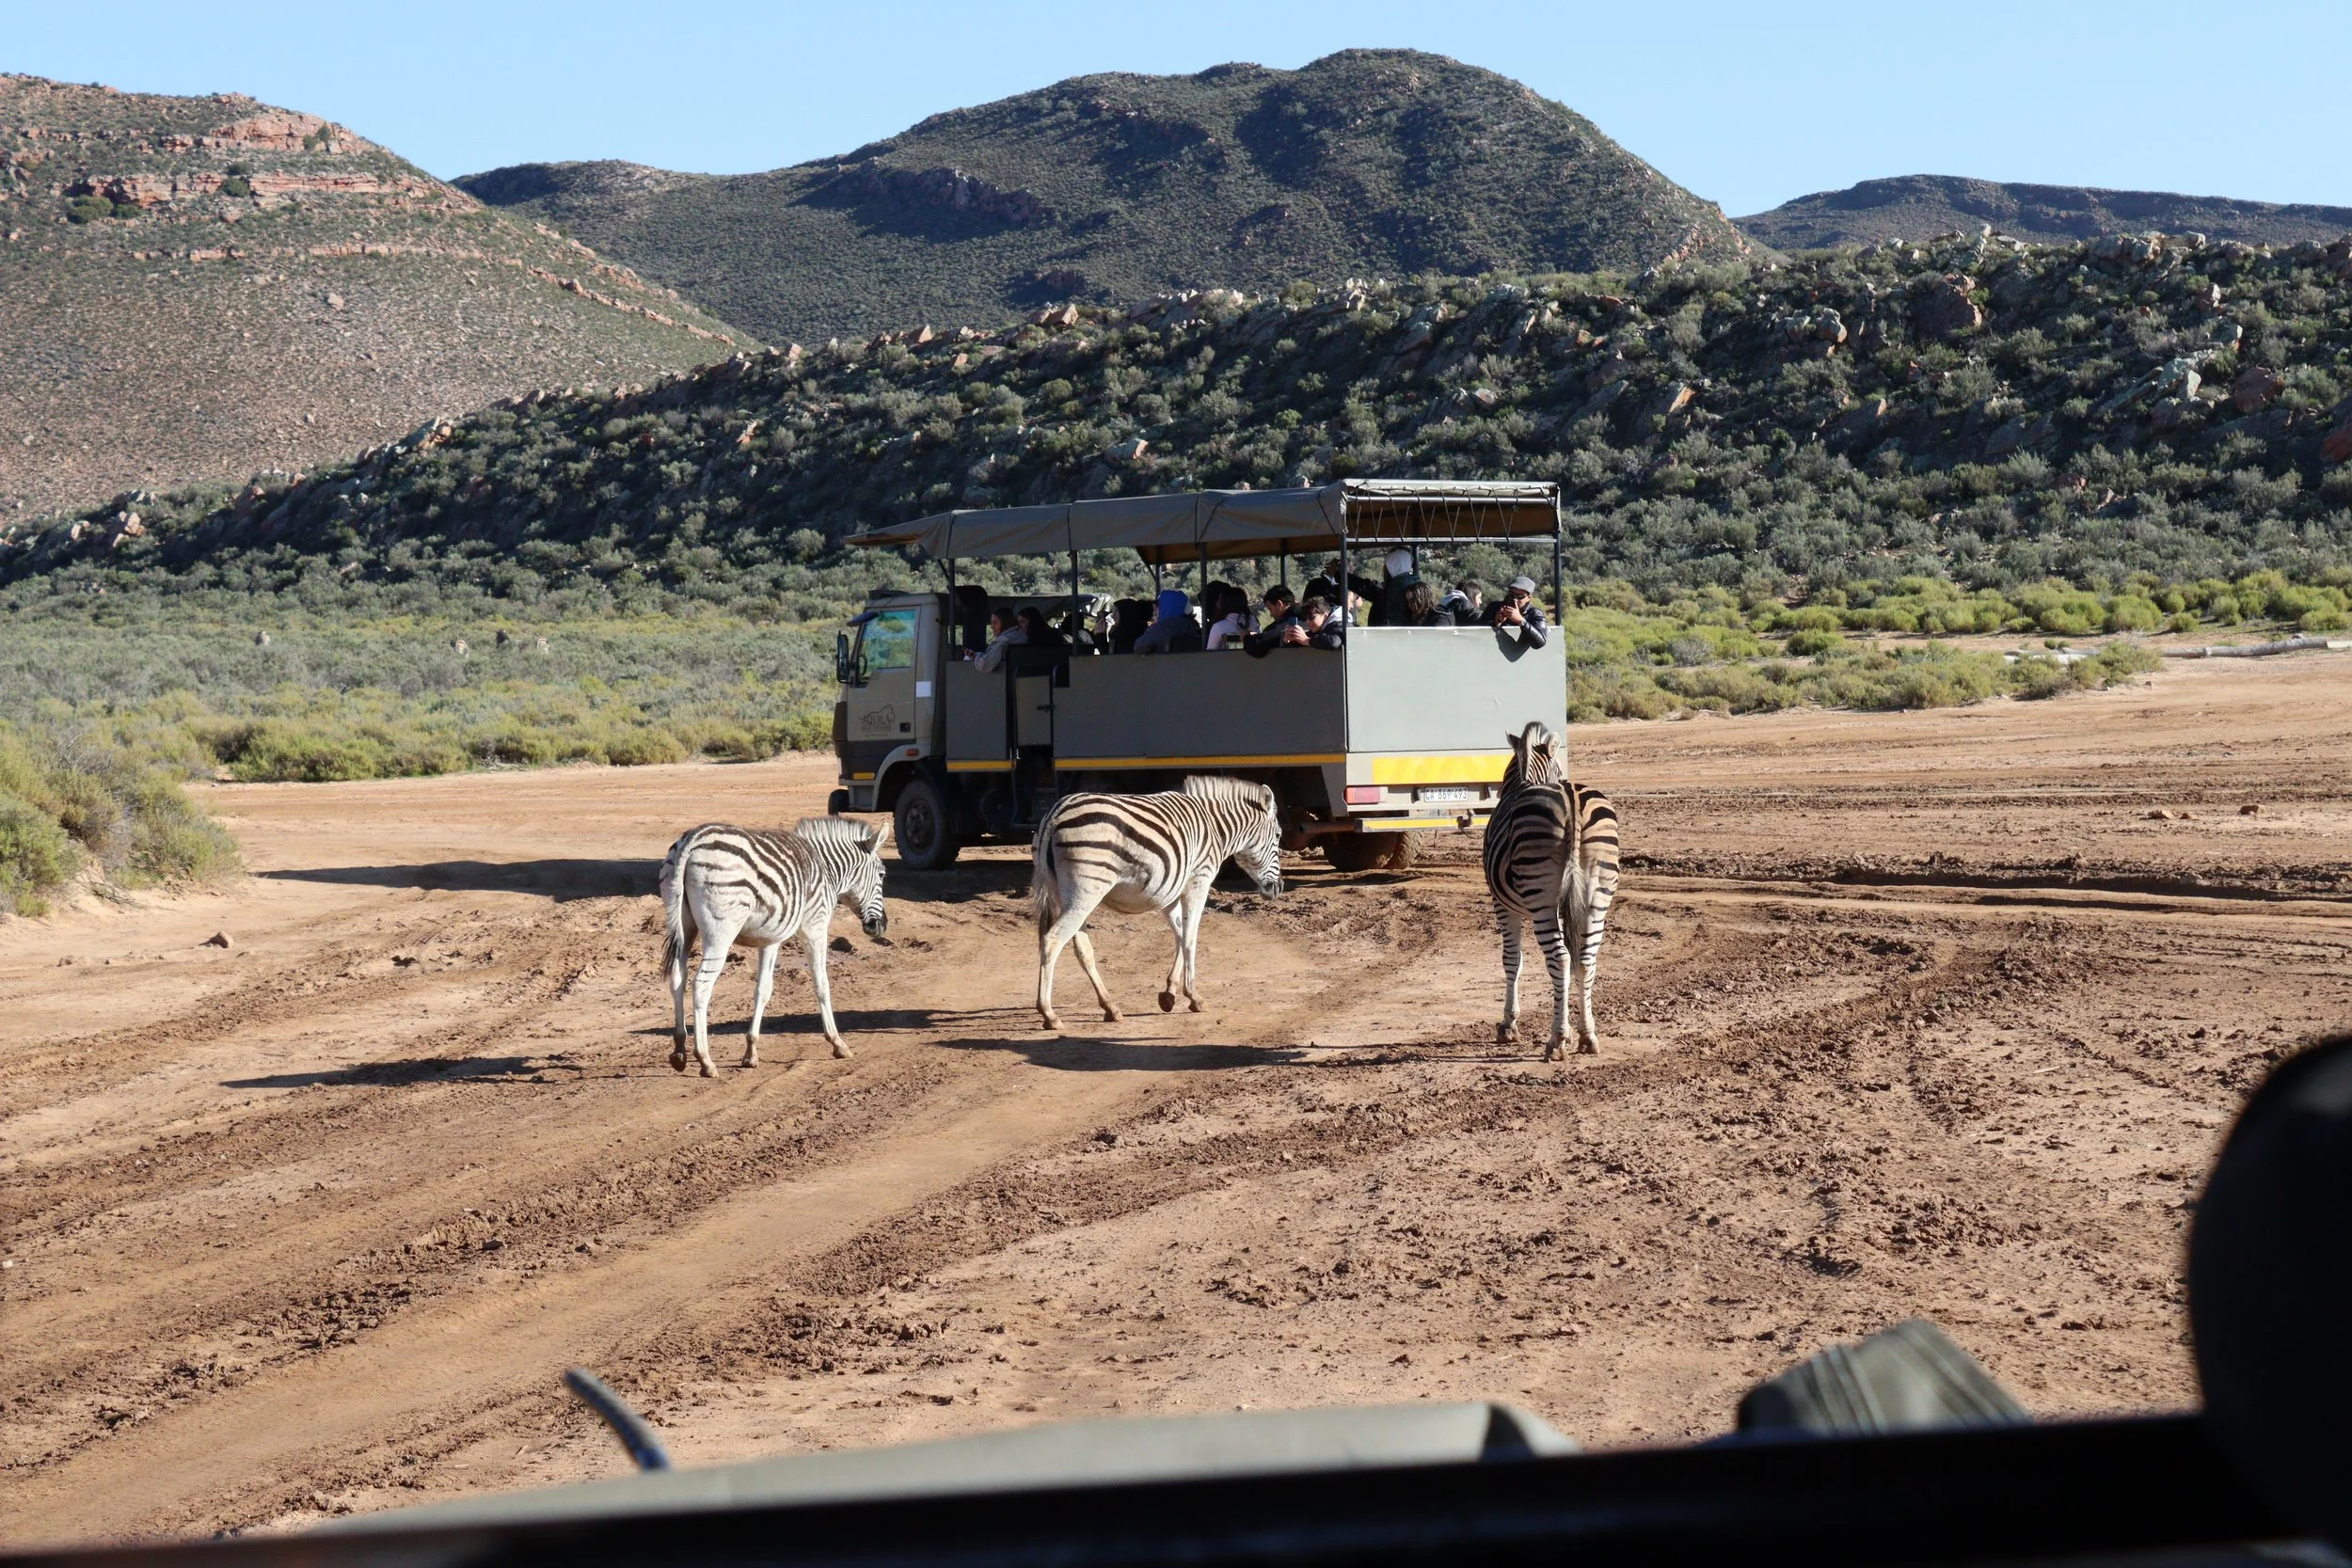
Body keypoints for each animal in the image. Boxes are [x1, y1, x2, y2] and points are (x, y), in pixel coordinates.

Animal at [659, 817, 888, 1075]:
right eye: (882, 875)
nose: (881, 926)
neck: (828, 868)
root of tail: (692, 840)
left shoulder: (771, 939)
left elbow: (763, 990)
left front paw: (751, 1052)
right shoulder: (814, 926)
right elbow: (822, 984)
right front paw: (837, 1042)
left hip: (684, 925)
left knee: (678, 979)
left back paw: (679, 1050)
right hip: (721, 931)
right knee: (701, 985)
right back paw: (705, 1059)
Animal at [1031, 775, 1283, 1031]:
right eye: (1279, 835)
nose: (1278, 888)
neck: (1216, 829)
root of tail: (1054, 815)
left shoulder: (1168, 893)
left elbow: (1180, 936)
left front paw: (1169, 994)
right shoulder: (1198, 882)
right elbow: (1190, 938)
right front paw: (1194, 996)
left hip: (1067, 894)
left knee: (1082, 949)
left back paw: (1110, 1007)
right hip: (1085, 892)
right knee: (1052, 940)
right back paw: (1049, 1014)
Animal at [1482, 720, 1621, 1060]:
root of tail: (1570, 797)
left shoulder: (1502, 905)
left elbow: (1512, 960)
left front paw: (1509, 1025)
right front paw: (1570, 1029)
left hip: (1540, 898)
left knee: (1560, 957)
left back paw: (1556, 1041)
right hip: (1597, 892)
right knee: (1585, 958)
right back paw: (1587, 1036)